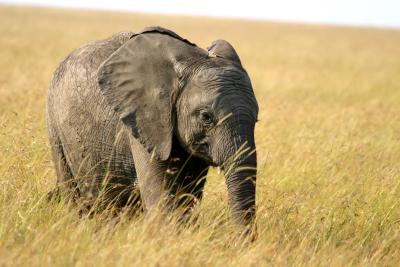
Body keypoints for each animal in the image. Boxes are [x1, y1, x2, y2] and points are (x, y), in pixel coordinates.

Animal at [47, 26, 260, 232]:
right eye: (206, 117)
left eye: (256, 119)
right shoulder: (145, 120)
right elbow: (159, 199)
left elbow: (187, 197)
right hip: (54, 125)